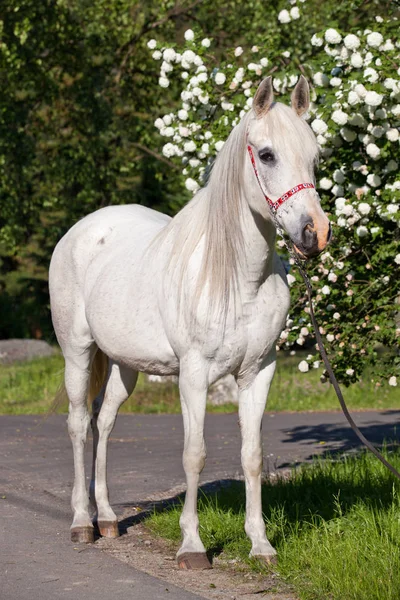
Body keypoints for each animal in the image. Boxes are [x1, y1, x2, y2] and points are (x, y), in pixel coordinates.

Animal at [49, 75, 332, 568]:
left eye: (315, 157)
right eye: (267, 154)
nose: (315, 233)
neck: (237, 277)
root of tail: (81, 230)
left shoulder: (258, 373)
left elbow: (252, 454)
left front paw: (261, 545)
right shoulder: (195, 374)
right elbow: (194, 454)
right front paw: (192, 546)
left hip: (125, 365)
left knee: (104, 423)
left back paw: (108, 519)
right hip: (77, 354)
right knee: (79, 423)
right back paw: (82, 523)